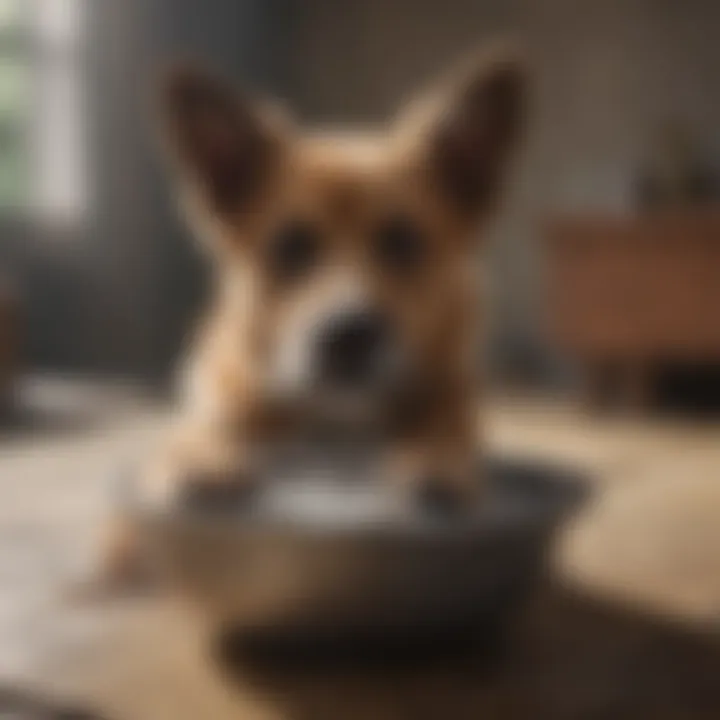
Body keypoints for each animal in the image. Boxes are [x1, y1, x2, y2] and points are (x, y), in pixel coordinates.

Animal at [101, 42, 524, 584]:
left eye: (404, 241)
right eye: (290, 246)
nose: (348, 336)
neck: (335, 418)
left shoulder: (450, 403)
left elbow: (444, 429)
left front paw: (440, 464)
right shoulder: (215, 417)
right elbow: (197, 441)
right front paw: (203, 460)